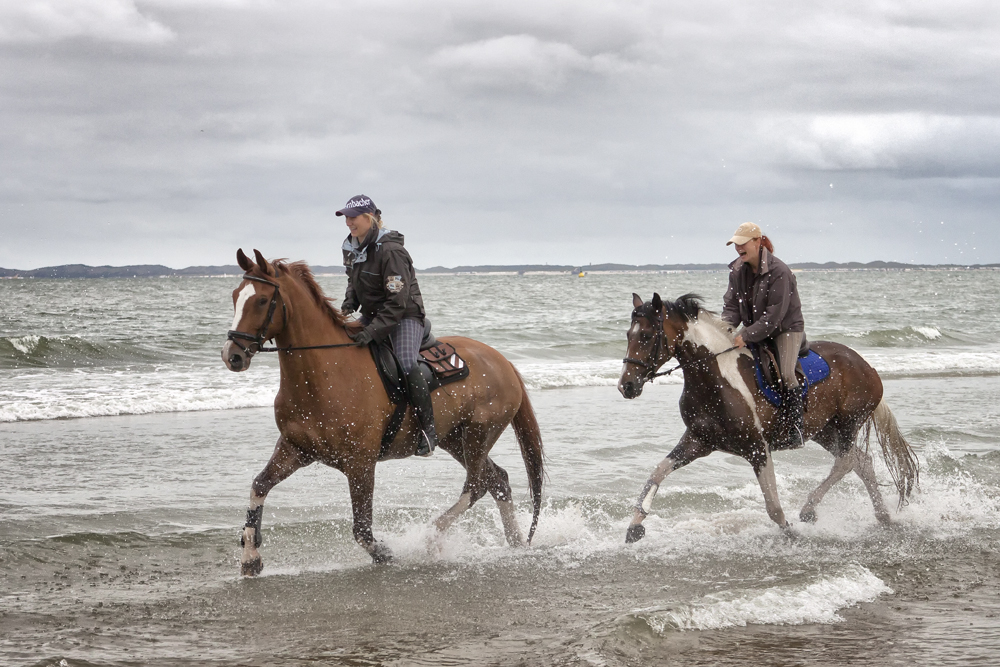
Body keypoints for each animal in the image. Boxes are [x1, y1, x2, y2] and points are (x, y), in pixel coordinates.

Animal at [223, 248, 544, 576]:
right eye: (236, 296)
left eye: (262, 300)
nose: (232, 355)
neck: (325, 372)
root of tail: (502, 361)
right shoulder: (294, 449)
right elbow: (259, 486)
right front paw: (250, 557)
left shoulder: (360, 463)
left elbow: (362, 530)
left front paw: (386, 555)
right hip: (456, 439)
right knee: (498, 481)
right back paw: (516, 544)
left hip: (479, 435)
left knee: (476, 487)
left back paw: (430, 537)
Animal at [620, 292, 916, 544]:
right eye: (628, 334)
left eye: (646, 335)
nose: (626, 386)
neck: (715, 379)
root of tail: (867, 366)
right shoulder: (698, 441)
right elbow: (657, 473)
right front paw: (635, 526)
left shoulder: (757, 448)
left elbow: (773, 505)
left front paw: (790, 532)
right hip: (824, 431)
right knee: (862, 462)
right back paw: (882, 517)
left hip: (848, 423)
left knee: (846, 462)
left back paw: (809, 509)